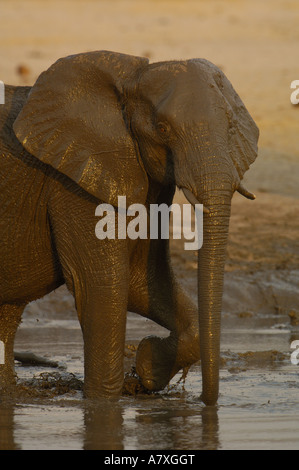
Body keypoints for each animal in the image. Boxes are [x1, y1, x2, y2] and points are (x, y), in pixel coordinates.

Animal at [0, 50, 258, 404]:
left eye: (231, 127)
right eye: (162, 129)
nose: (206, 402)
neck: (131, 77)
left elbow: (142, 281)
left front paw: (148, 366)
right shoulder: (73, 183)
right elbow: (100, 286)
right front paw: (105, 403)